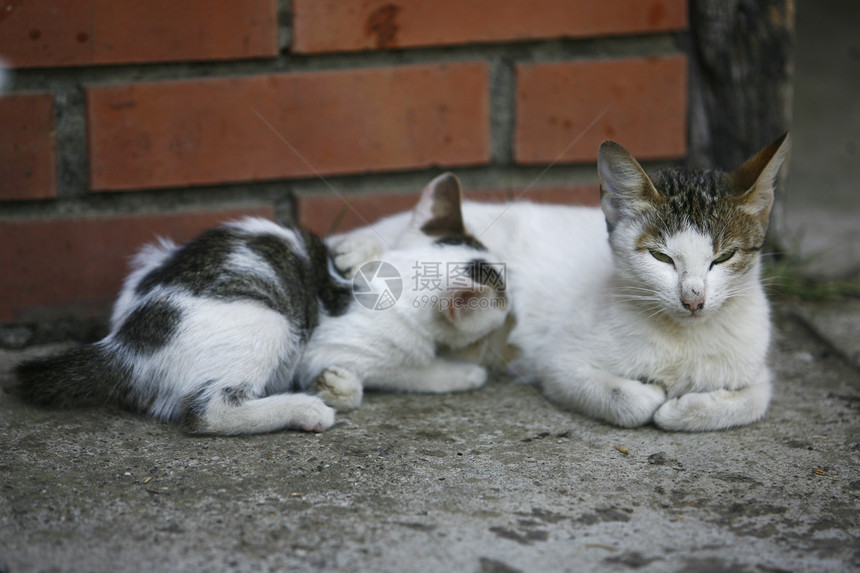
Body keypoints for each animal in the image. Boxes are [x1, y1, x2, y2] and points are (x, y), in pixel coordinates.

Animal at [15, 174, 504, 434]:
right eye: (500, 315)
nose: (510, 322)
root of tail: (123, 343)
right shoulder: (331, 348)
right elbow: (409, 371)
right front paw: (460, 373)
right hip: (270, 321)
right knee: (208, 413)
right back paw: (302, 408)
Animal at [332, 134, 788, 428]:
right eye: (661, 257)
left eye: (724, 257)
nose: (694, 300)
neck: (681, 340)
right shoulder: (558, 362)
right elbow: (627, 401)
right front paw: (656, 399)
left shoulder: (756, 368)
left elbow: (755, 400)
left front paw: (686, 408)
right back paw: (355, 250)